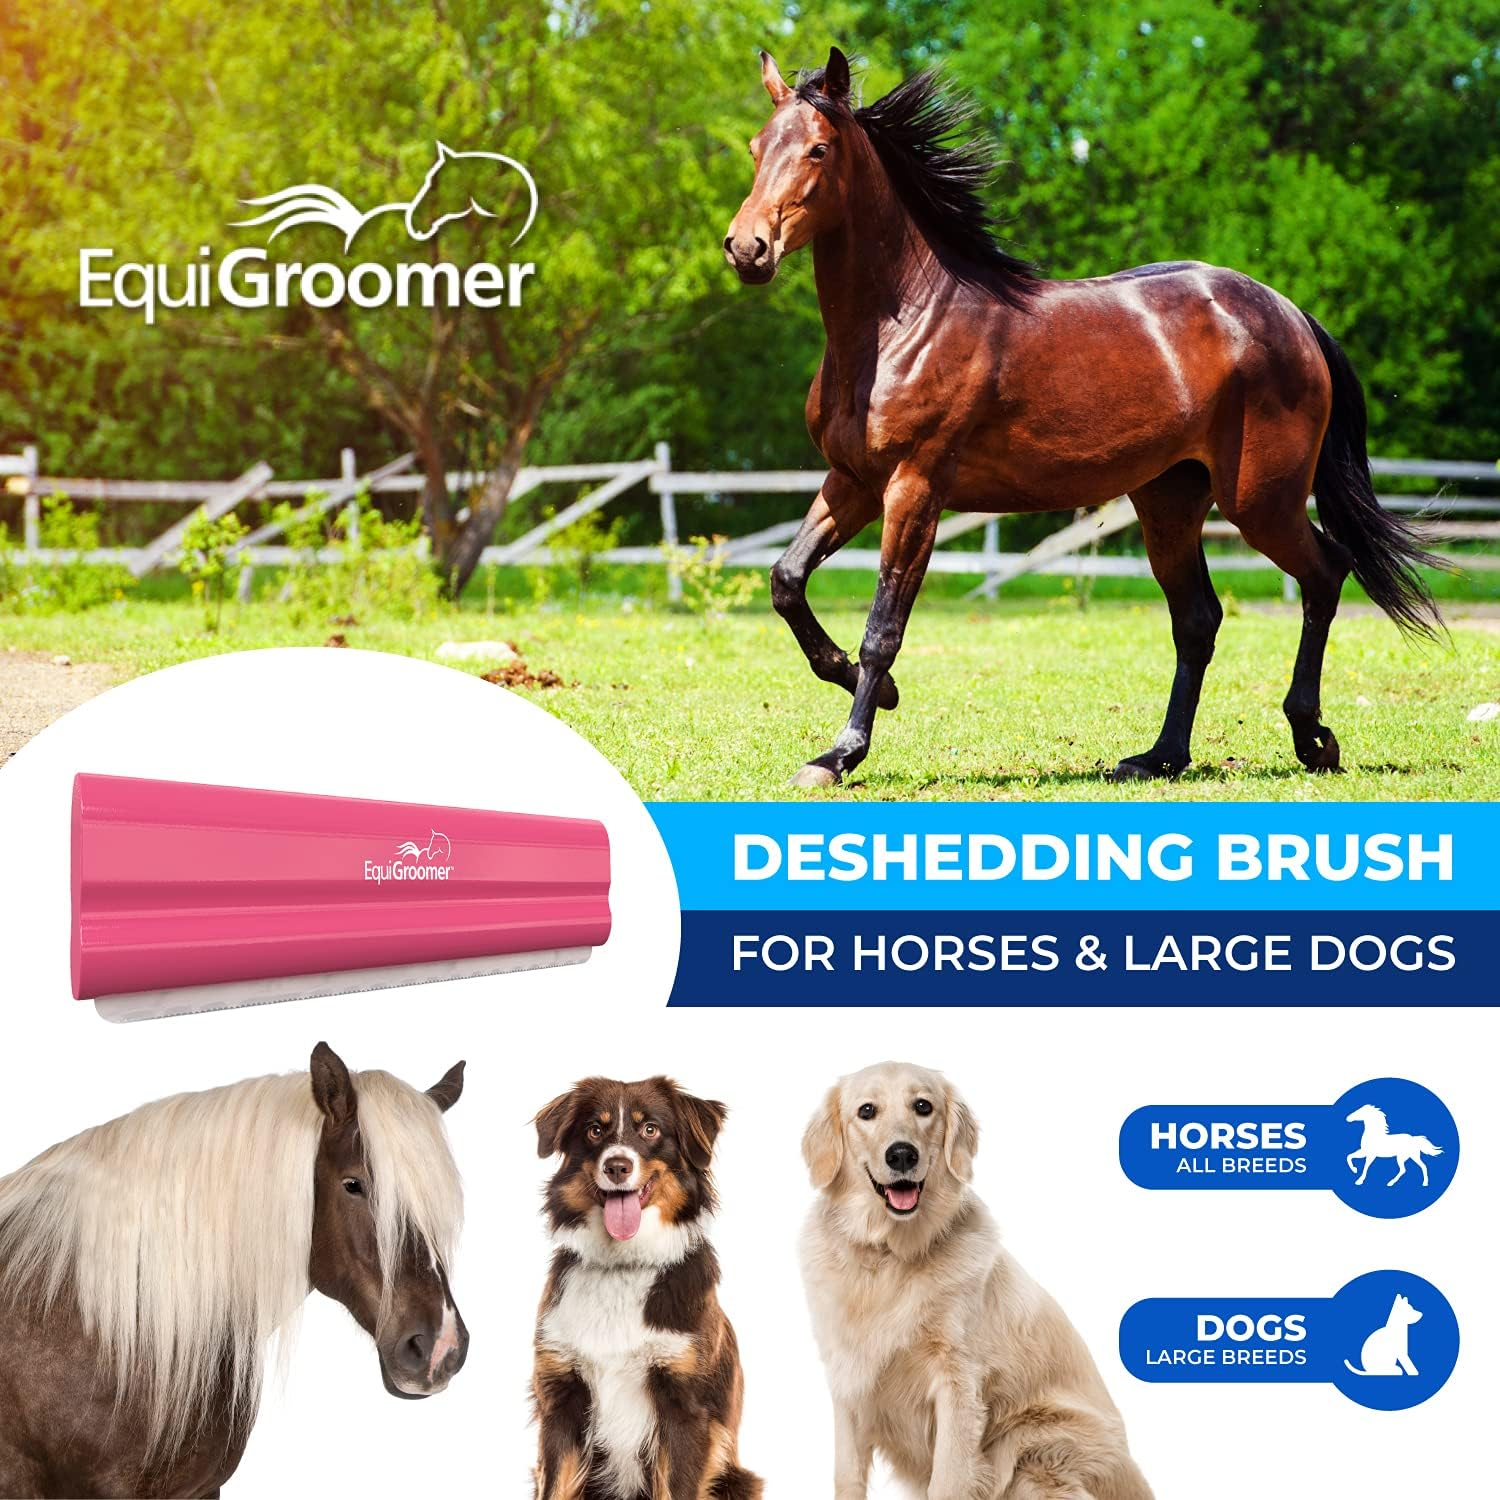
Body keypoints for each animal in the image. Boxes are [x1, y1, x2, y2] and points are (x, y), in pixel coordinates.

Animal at [723, 48, 1443, 789]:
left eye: (818, 148)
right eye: (756, 147)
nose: (747, 248)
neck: (901, 326)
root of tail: (1292, 315)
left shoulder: (914, 490)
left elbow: (882, 628)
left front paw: (840, 753)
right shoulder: (854, 482)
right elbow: (786, 581)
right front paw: (865, 691)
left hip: (1259, 502)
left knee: (1324, 572)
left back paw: (1312, 737)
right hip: (1170, 501)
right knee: (1198, 619)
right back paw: (1160, 757)